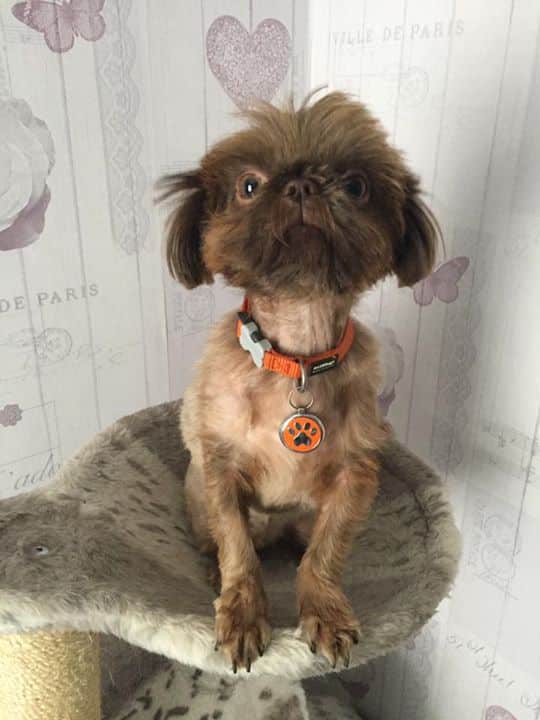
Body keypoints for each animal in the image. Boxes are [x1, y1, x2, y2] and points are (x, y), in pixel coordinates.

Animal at [158, 91, 439, 673]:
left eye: (355, 185)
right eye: (249, 185)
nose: (303, 185)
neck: (299, 356)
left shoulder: (355, 478)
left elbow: (325, 555)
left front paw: (325, 612)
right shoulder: (220, 468)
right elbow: (238, 549)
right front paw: (242, 613)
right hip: (198, 498)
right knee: (219, 541)